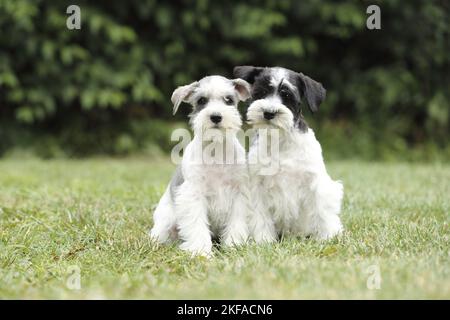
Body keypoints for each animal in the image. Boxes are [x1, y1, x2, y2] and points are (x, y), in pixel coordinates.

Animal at [150, 75, 250, 258]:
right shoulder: (193, 194)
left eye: (229, 100)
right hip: (166, 222)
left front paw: (234, 246)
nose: (216, 116)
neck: (215, 149)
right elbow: (197, 225)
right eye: (201, 100)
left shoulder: (239, 193)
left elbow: (236, 222)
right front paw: (201, 252)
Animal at [234, 66, 342, 241]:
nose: (269, 112)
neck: (281, 141)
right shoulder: (257, 186)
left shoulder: (316, 182)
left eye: (287, 95)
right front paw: (264, 240)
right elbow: (260, 216)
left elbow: (322, 212)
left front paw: (328, 237)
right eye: (261, 92)